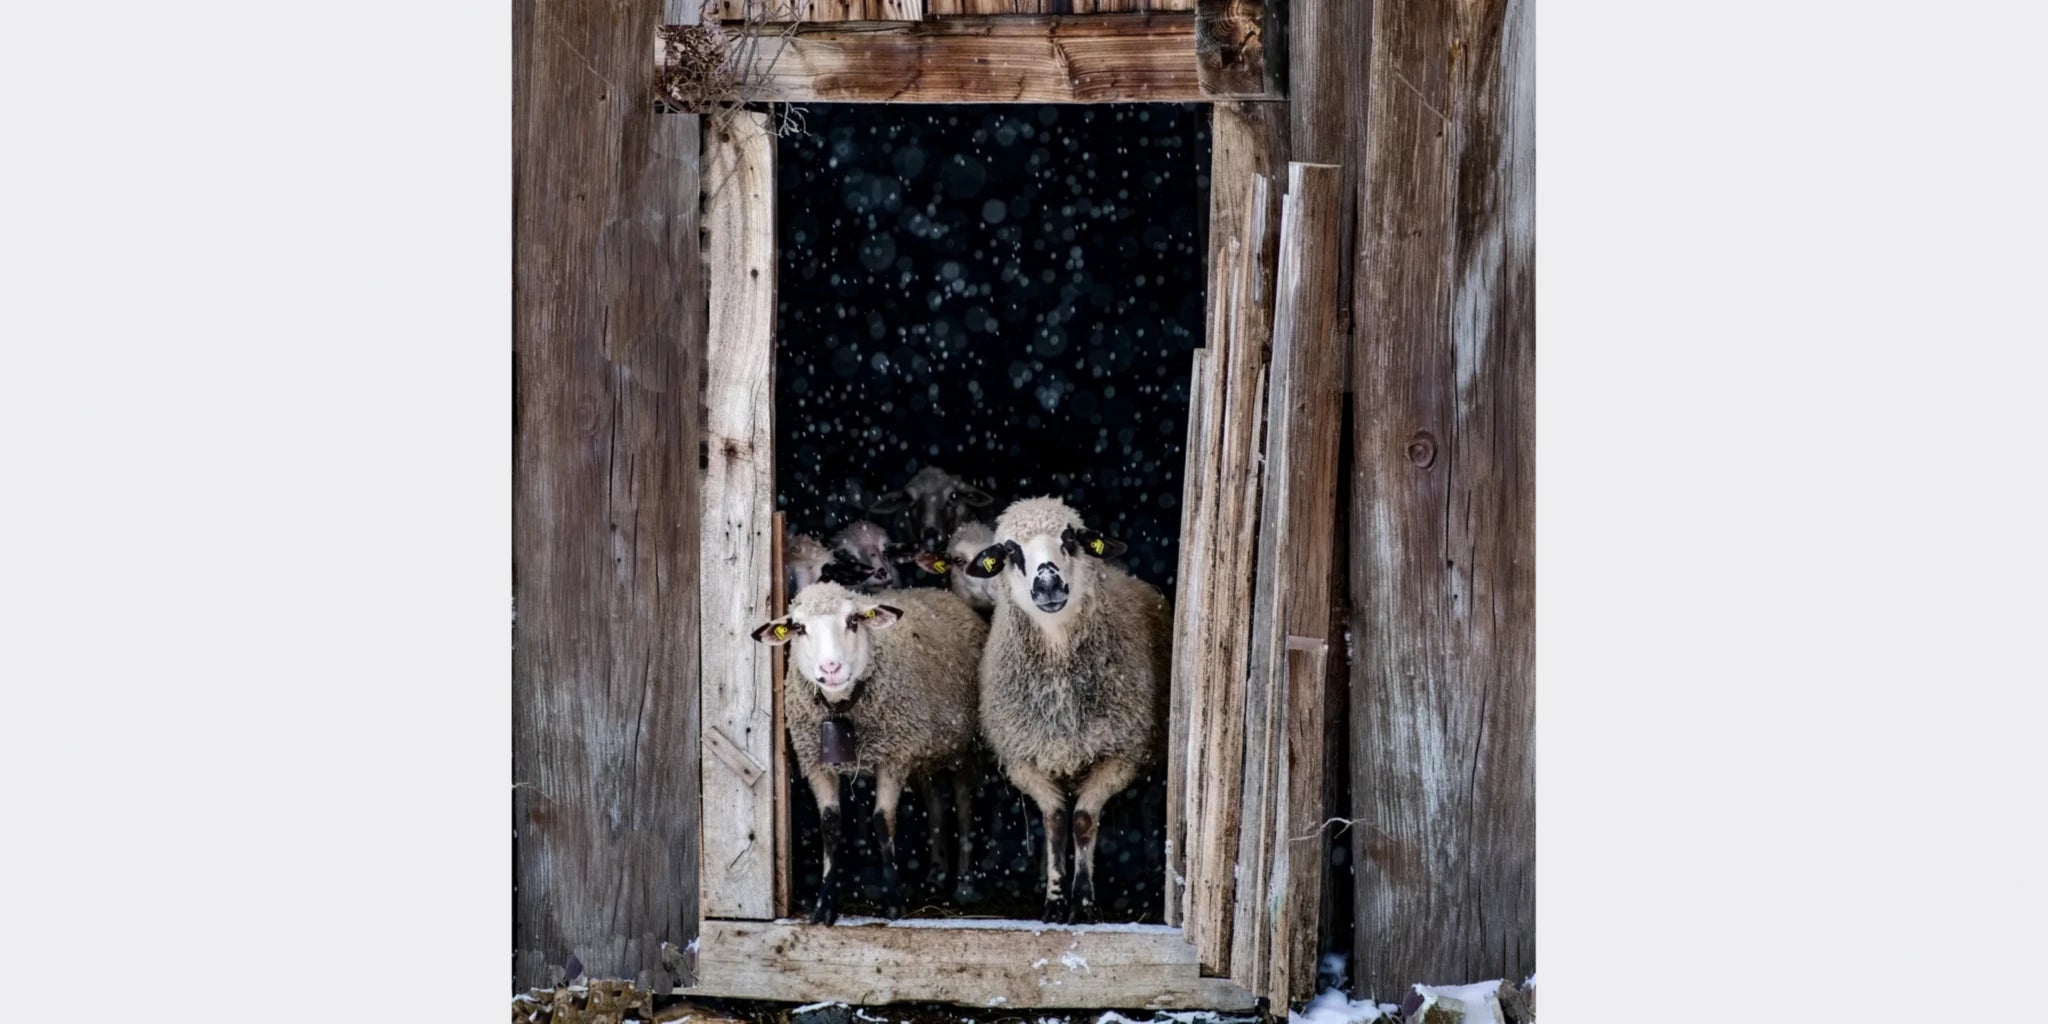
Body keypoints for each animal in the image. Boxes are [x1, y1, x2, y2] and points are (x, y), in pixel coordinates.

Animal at [752, 581, 987, 924]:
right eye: (799, 628)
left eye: (853, 621)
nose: (831, 669)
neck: (840, 708)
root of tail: (936, 590)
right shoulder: (816, 764)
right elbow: (830, 825)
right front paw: (825, 904)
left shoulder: (892, 759)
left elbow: (882, 821)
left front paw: (893, 902)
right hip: (924, 755)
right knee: (936, 807)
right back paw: (935, 877)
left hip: (963, 747)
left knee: (965, 806)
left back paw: (965, 884)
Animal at [964, 497, 1170, 923]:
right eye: (1010, 551)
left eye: (1070, 538)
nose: (1048, 585)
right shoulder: (1024, 758)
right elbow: (1056, 822)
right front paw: (1055, 901)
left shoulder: (1119, 756)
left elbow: (1083, 821)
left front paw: (1084, 902)